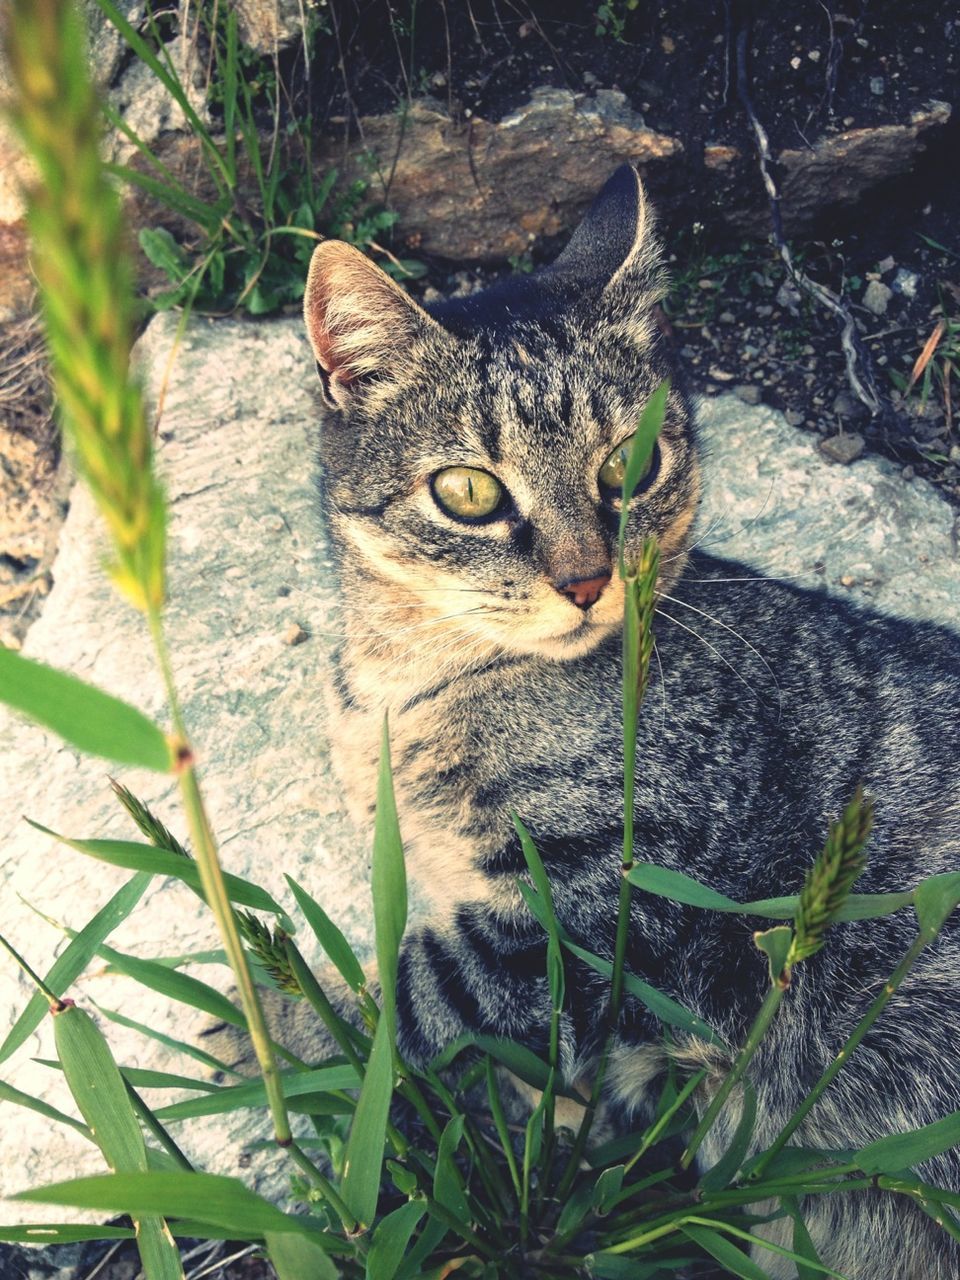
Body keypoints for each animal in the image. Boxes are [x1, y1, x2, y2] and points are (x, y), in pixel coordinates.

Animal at [280, 165, 960, 1274]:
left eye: (625, 470)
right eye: (467, 491)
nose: (588, 579)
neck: (409, 688)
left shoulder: (597, 905)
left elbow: (403, 1004)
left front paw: (274, 1019)